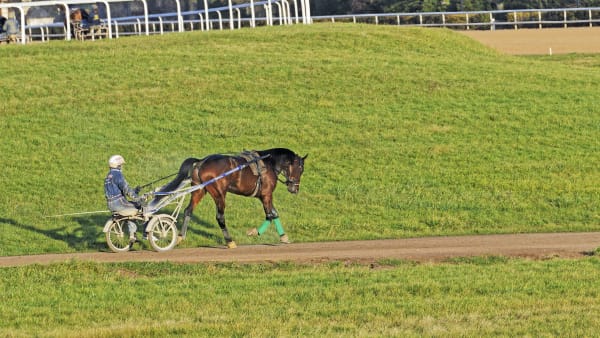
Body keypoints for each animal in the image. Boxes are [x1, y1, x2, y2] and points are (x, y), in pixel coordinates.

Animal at [157, 148, 308, 248]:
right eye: (300, 169)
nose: (295, 189)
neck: (268, 164)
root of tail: (201, 162)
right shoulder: (266, 194)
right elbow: (270, 215)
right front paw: (254, 232)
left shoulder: (263, 196)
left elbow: (274, 214)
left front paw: (284, 237)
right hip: (219, 194)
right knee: (220, 217)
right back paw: (230, 241)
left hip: (199, 190)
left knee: (188, 211)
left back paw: (180, 237)